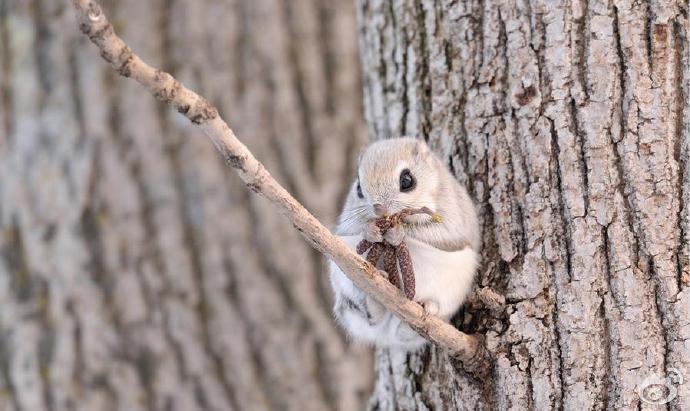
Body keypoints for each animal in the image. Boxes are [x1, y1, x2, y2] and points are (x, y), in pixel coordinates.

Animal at [328, 138, 478, 350]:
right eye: (358, 188)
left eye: (407, 180)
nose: (379, 209)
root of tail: (385, 337)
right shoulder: (346, 227)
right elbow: (354, 229)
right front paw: (371, 231)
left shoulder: (453, 217)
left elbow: (440, 234)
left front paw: (397, 233)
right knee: (368, 317)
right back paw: (375, 299)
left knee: (409, 331)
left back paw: (425, 310)